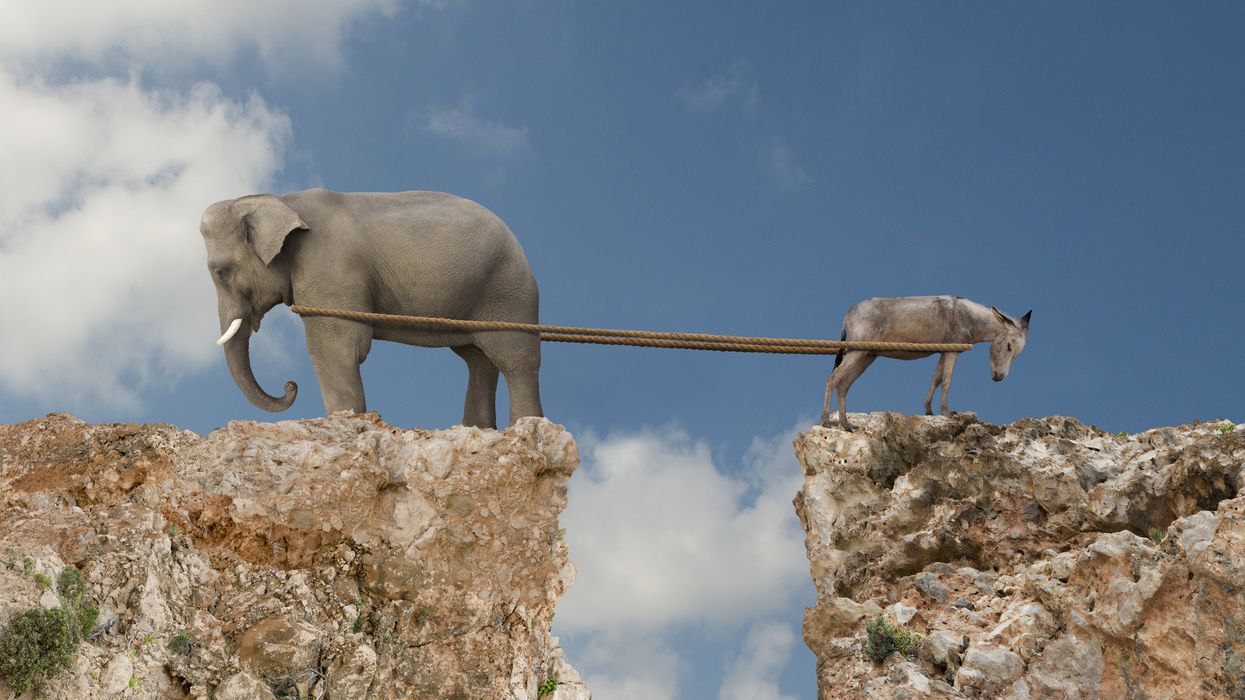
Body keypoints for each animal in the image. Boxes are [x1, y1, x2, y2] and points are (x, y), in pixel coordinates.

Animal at [200, 188, 543, 428]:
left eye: (222, 272)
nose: (290, 385)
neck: (284, 200)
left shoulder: (329, 272)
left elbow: (339, 348)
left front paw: (345, 421)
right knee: (478, 360)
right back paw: (476, 430)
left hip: (507, 291)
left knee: (514, 359)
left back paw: (522, 426)